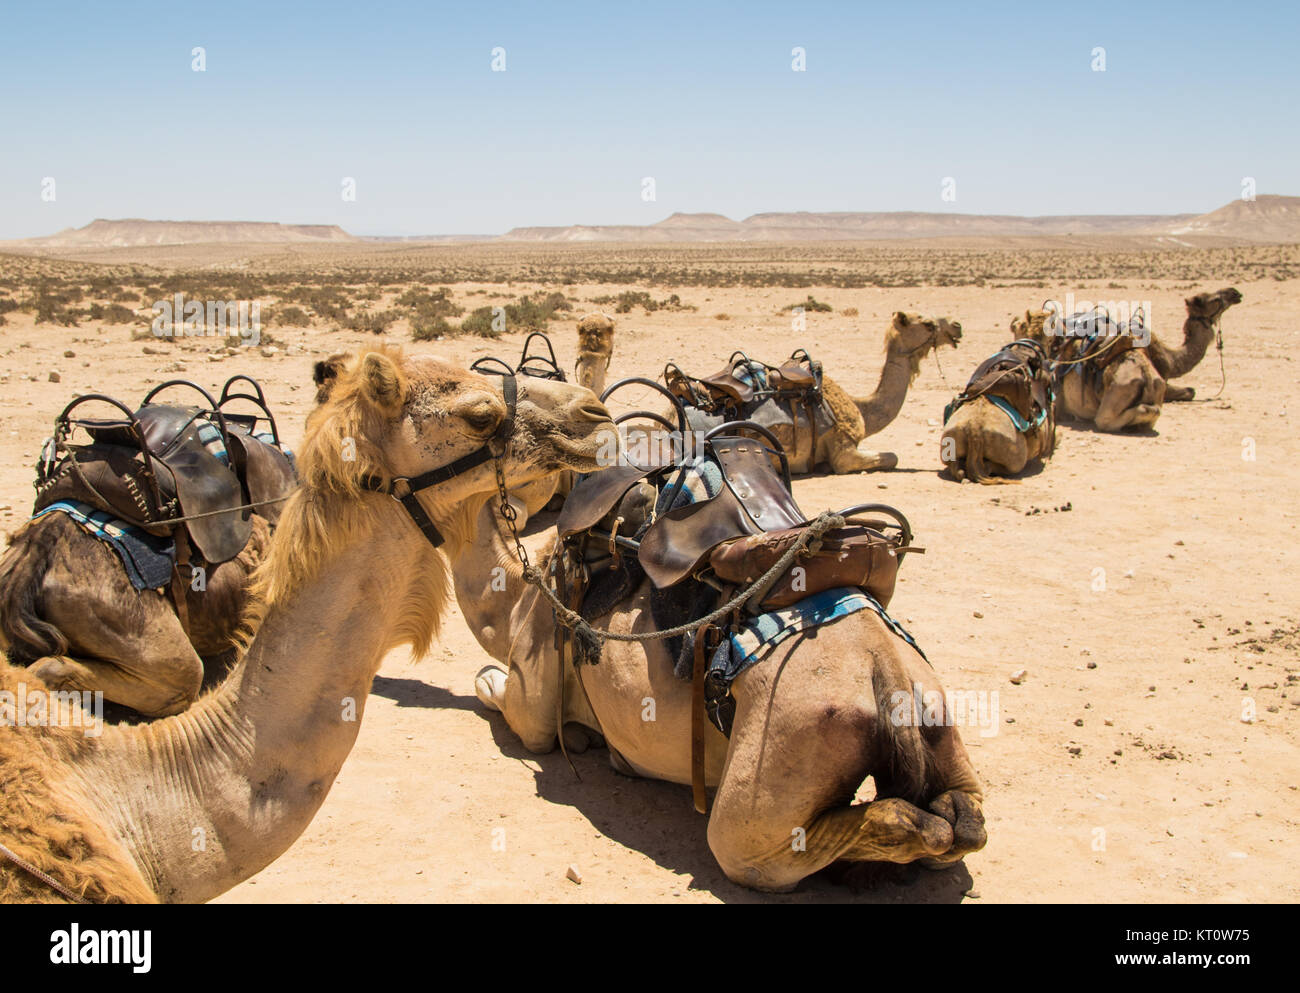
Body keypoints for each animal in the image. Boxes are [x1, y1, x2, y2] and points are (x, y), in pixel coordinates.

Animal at [450, 496, 987, 893]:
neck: (517, 587)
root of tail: (886, 672)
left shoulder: (534, 688)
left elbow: (496, 692)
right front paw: (595, 742)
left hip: (786, 749)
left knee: (753, 850)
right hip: (933, 705)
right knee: (963, 820)